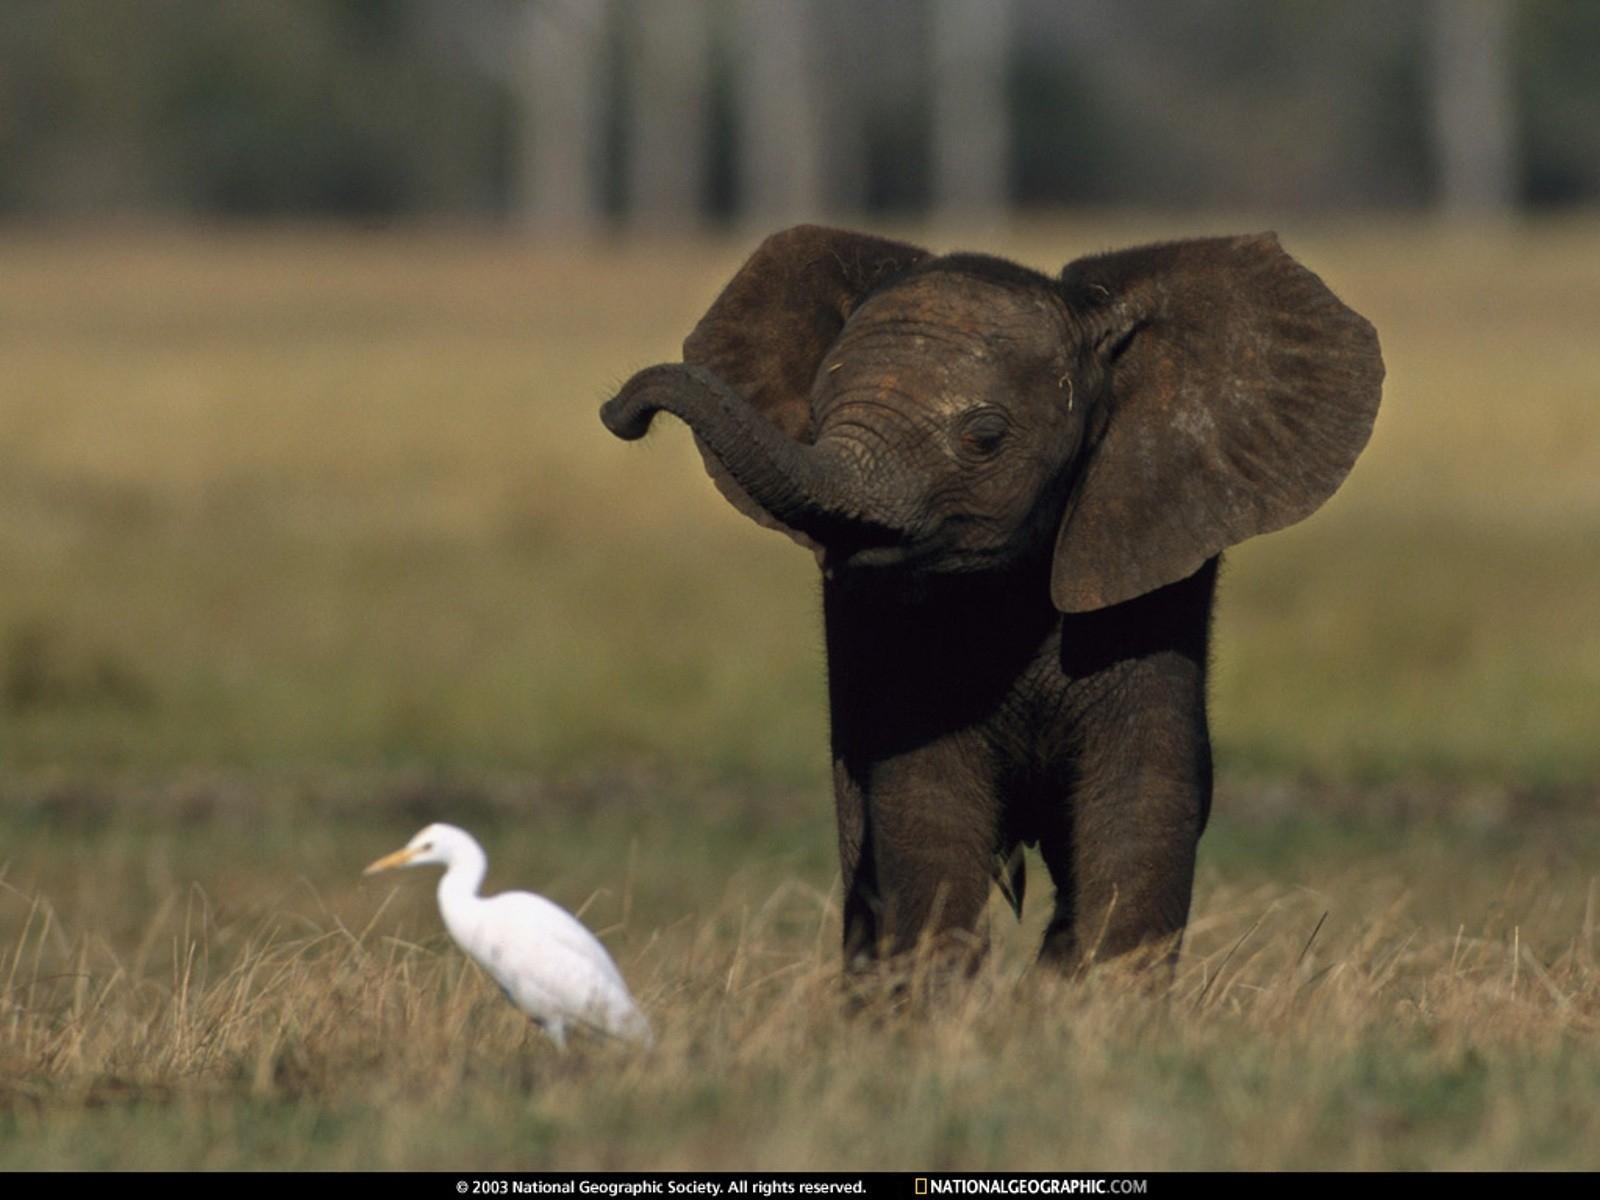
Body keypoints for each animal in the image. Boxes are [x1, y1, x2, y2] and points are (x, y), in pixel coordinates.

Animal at [601, 225, 1383, 976]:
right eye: (814, 419)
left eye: (984, 438)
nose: (619, 412)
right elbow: (928, 810)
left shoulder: (1150, 576)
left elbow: (1139, 806)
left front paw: (1100, 1012)